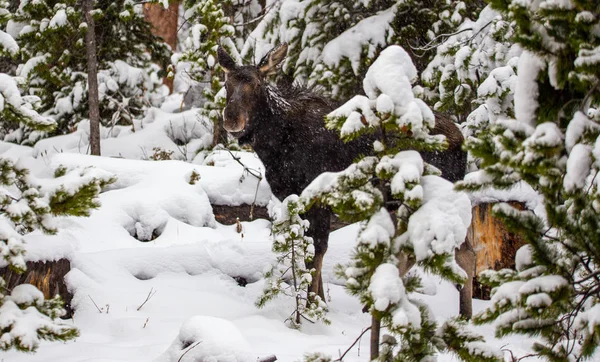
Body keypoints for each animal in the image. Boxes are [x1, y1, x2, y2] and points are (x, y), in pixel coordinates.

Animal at [218, 43, 476, 318]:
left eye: (257, 84)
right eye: (226, 83)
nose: (231, 118)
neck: (275, 144)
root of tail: (462, 139)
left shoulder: (319, 200)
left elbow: (316, 255)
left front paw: (310, 310)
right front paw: (320, 305)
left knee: (454, 253)